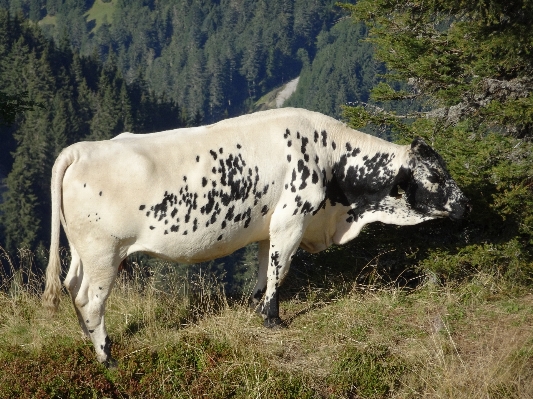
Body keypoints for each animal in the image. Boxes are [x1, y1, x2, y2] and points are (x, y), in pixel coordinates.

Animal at [42, 108, 470, 368]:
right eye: (434, 176)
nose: (465, 203)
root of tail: (81, 150)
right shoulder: (292, 219)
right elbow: (280, 271)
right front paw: (273, 320)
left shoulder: (268, 228)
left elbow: (265, 271)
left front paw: (256, 309)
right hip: (103, 252)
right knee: (89, 299)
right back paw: (107, 358)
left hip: (82, 251)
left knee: (72, 287)